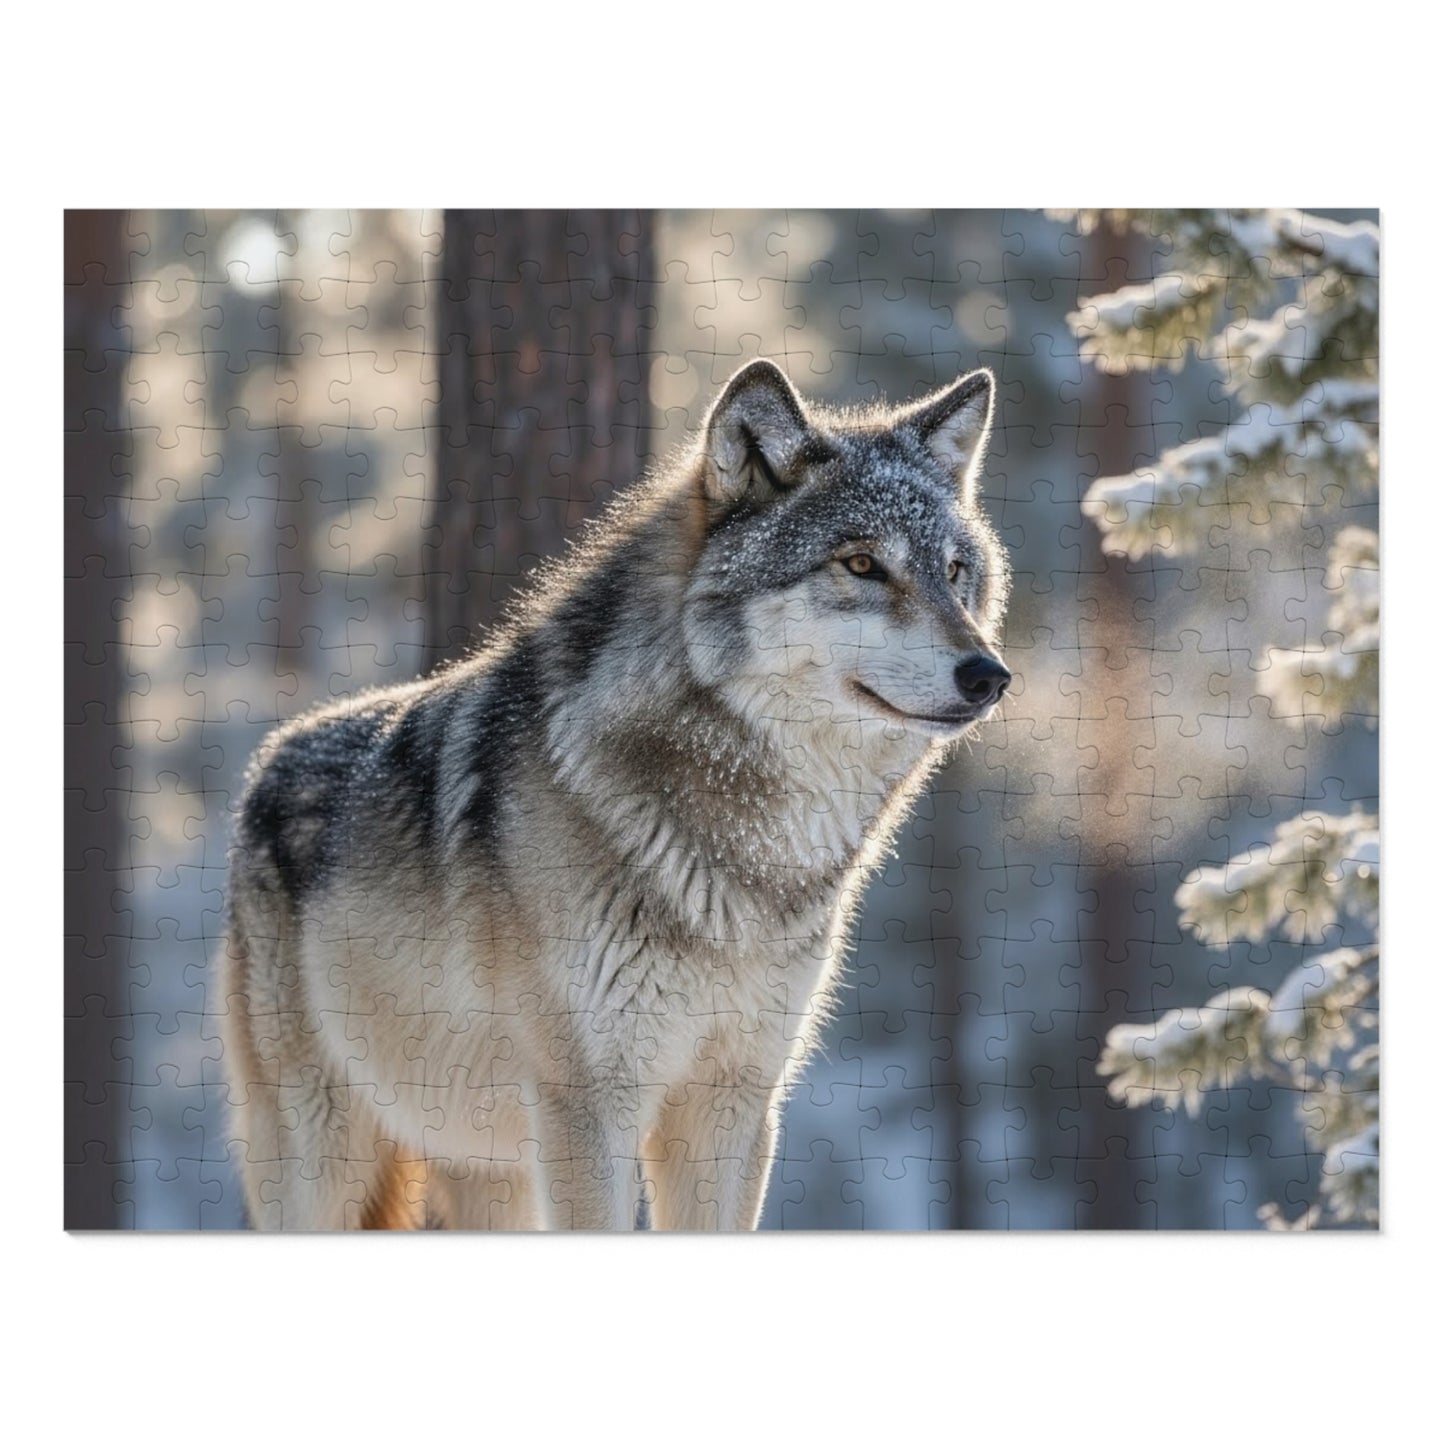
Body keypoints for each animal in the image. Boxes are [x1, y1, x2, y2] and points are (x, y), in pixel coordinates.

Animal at [221, 358, 1011, 1230]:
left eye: (954, 573)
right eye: (862, 565)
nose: (989, 675)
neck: (749, 856)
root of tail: (271, 754)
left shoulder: (732, 1100)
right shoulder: (589, 1105)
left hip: (485, 1171)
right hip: (323, 1156)